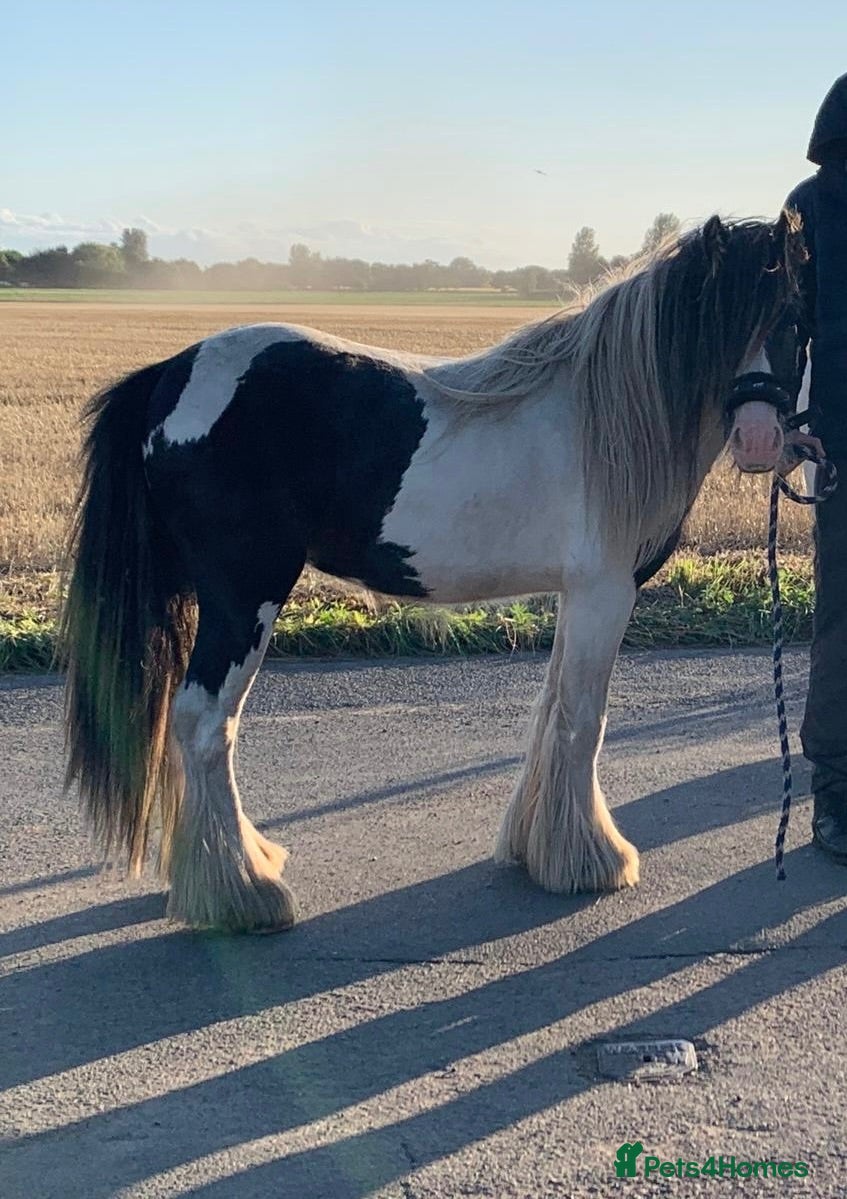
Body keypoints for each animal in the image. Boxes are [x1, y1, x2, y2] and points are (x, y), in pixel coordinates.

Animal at [60, 212, 805, 934]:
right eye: (724, 316)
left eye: (795, 318)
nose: (761, 441)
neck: (604, 416)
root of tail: (173, 373)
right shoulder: (605, 591)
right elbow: (582, 719)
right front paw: (591, 860)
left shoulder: (577, 594)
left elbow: (551, 708)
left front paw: (536, 846)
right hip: (244, 596)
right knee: (204, 722)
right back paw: (243, 894)